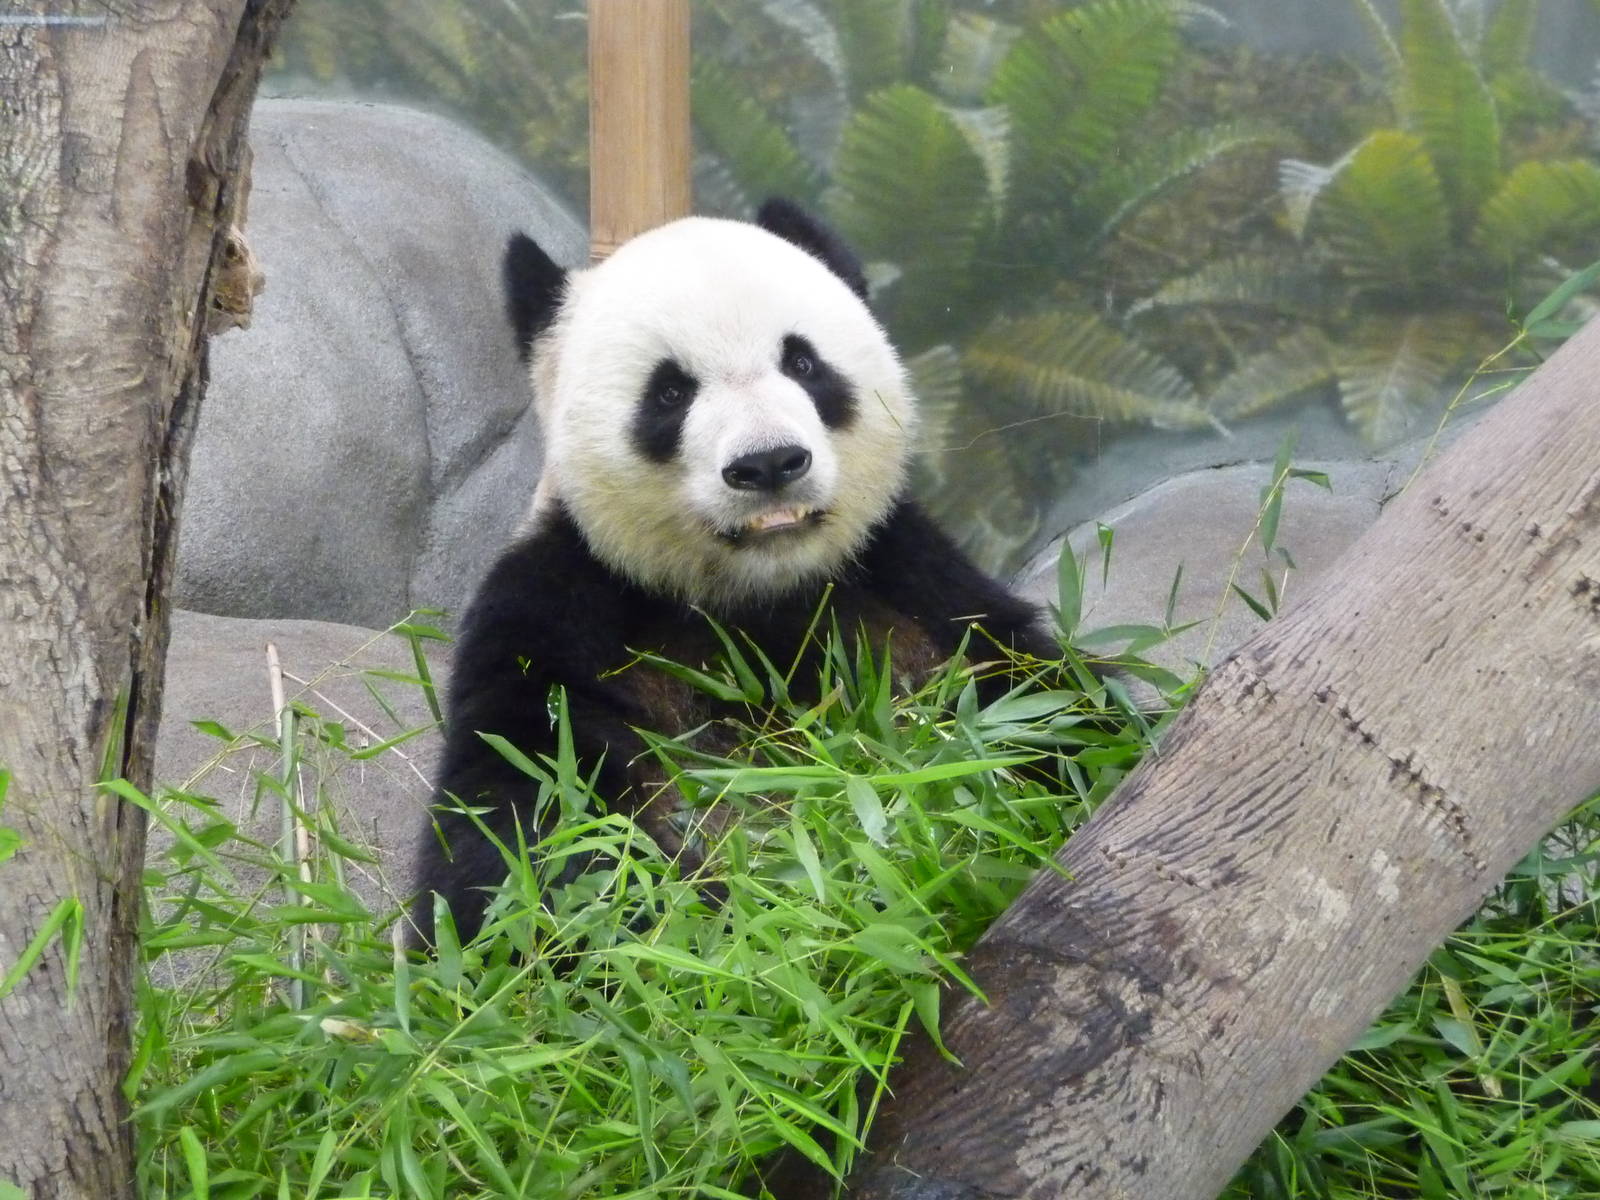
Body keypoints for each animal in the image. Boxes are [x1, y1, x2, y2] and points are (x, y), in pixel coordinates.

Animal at [414, 199, 1058, 944]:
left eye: (803, 361)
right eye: (669, 392)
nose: (769, 462)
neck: (751, 593)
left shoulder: (910, 576)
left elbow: (1037, 697)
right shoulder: (558, 602)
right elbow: (522, 826)